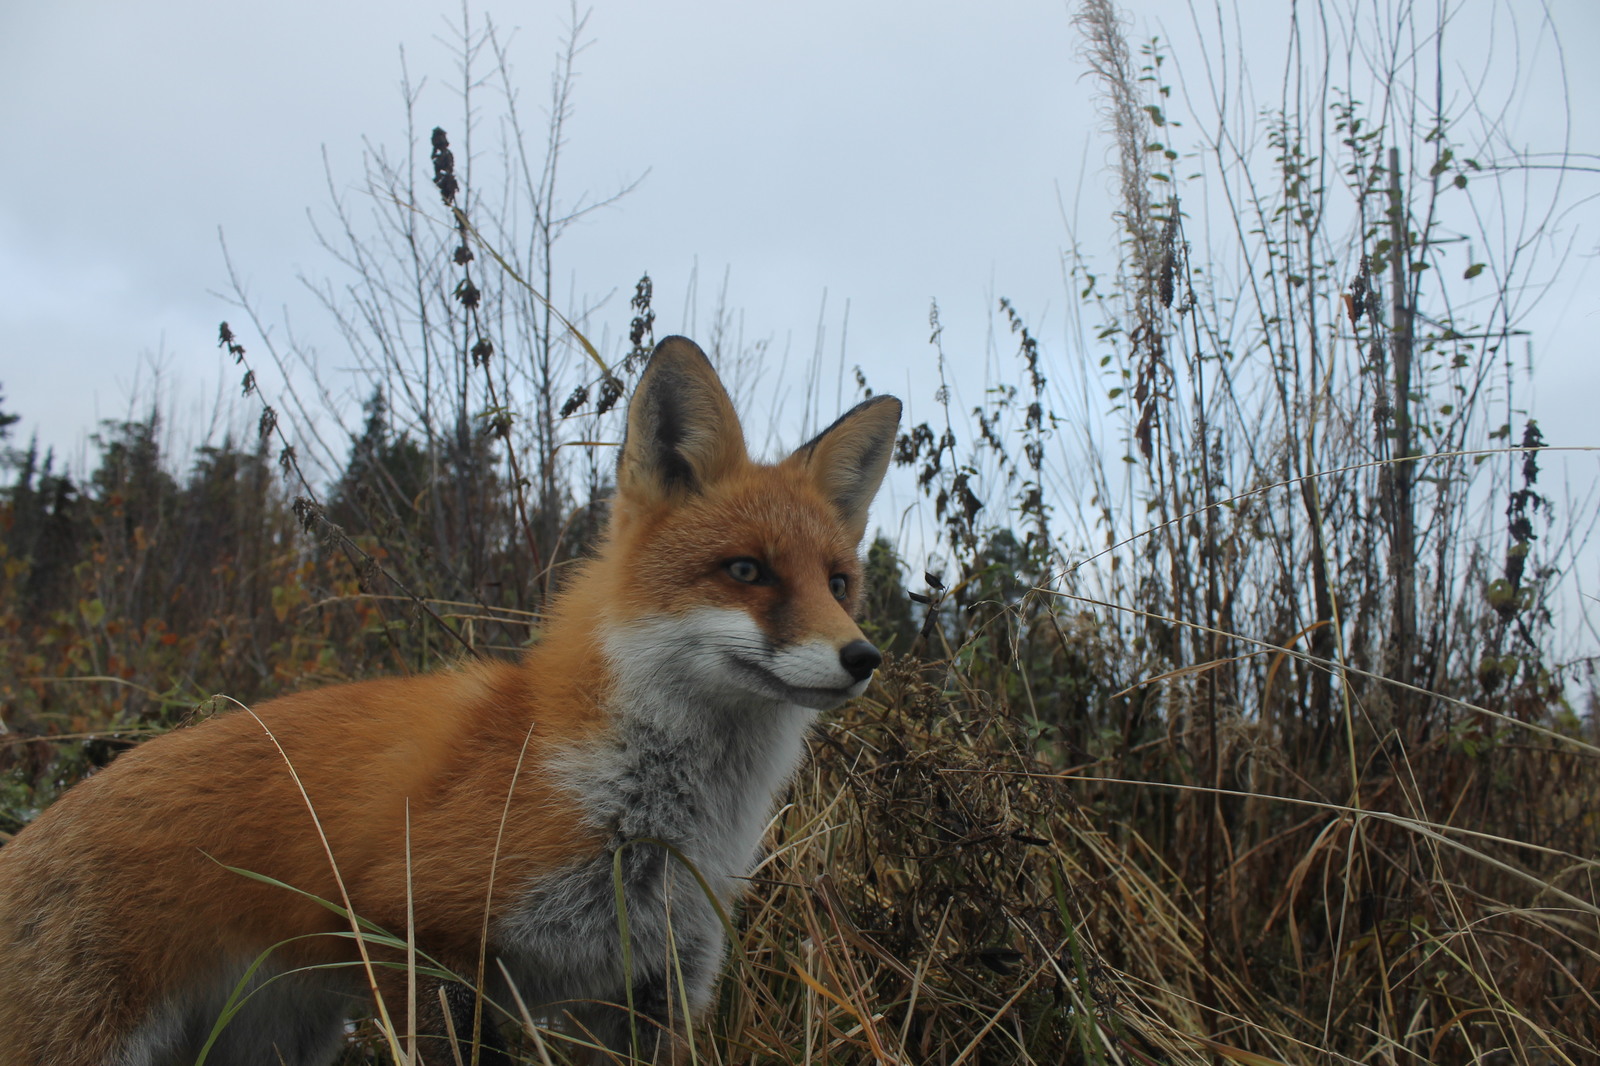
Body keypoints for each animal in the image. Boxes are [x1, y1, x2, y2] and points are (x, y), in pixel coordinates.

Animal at [0, 336, 902, 1056]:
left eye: (838, 583)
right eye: (746, 571)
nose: (864, 657)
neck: (645, 811)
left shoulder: (657, 988)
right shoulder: (418, 936)